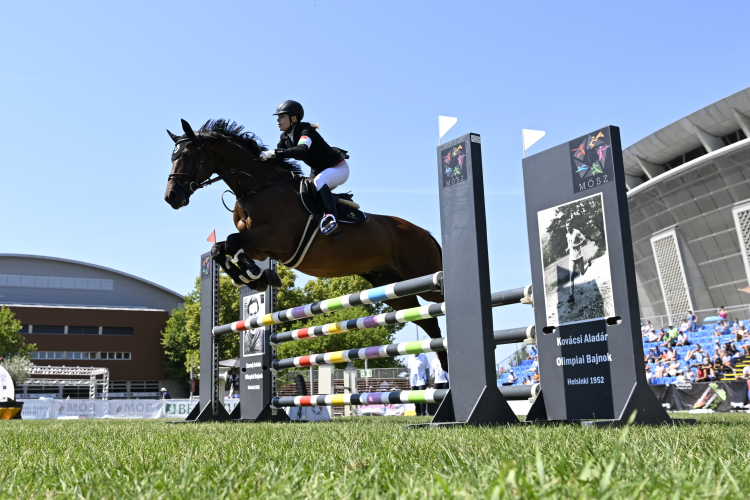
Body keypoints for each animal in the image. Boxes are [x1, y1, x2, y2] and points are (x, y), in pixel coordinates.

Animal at [163, 117, 446, 368]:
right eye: (173, 157)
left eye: (187, 155)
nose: (171, 197)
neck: (260, 187)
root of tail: (425, 233)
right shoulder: (262, 246)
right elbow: (220, 248)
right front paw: (254, 278)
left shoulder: (277, 237)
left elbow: (232, 243)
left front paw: (253, 274)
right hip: (392, 287)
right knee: (429, 323)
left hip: (424, 277)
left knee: (438, 303)